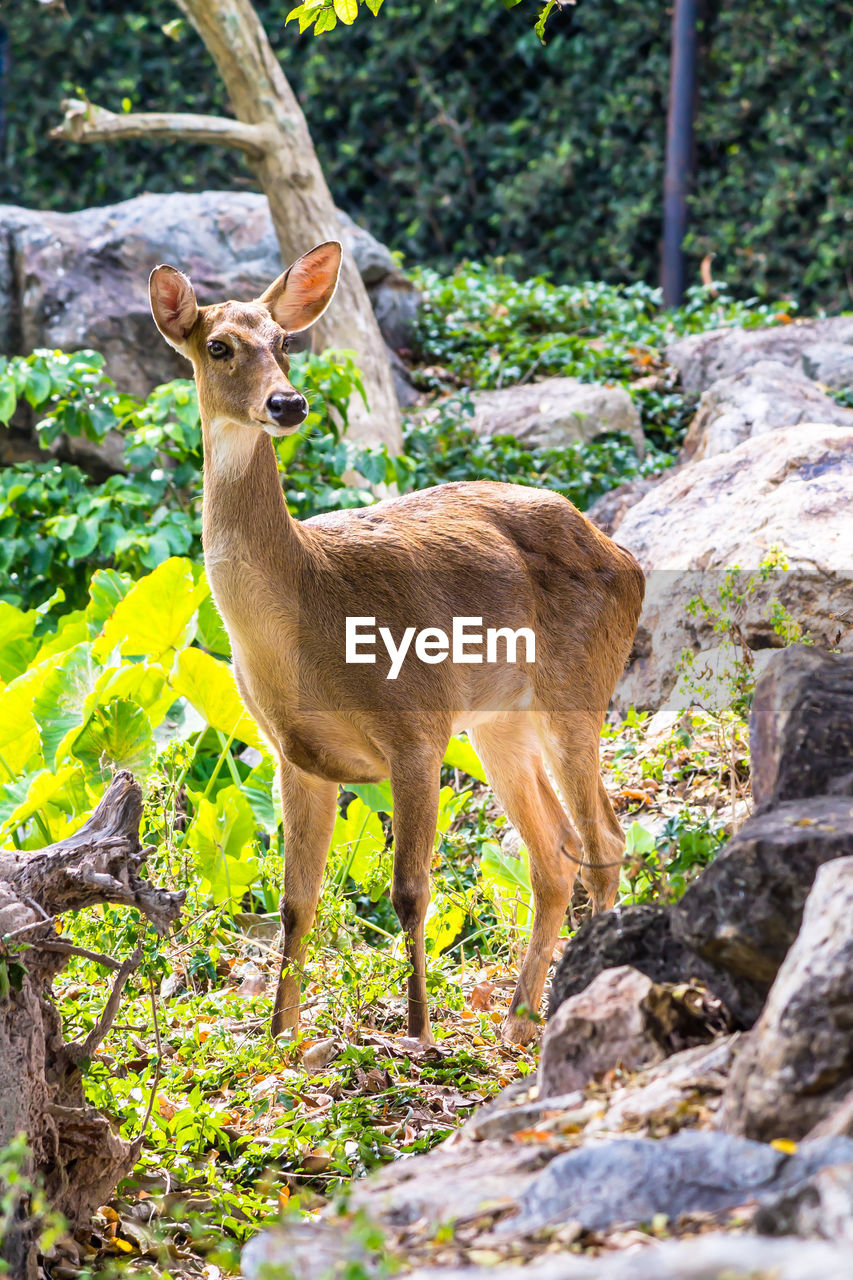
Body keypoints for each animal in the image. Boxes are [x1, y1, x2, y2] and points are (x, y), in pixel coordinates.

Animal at [149, 241, 640, 1049]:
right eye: (218, 345)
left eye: (286, 343)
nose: (287, 404)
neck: (307, 611)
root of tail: (625, 558)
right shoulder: (294, 755)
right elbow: (297, 900)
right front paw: (279, 1038)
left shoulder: (415, 726)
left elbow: (410, 890)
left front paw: (417, 1032)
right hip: (501, 723)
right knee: (551, 856)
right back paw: (516, 1023)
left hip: (579, 689)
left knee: (602, 840)